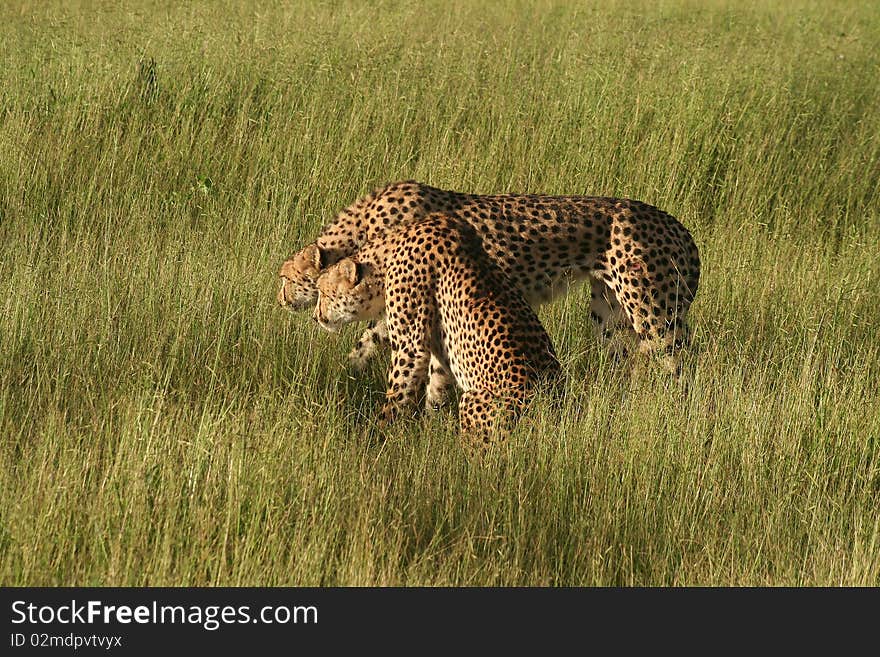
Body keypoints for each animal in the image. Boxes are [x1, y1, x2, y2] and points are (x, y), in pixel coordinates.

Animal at [278, 179, 704, 374]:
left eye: (286, 278)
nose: (281, 299)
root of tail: (676, 223)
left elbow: (370, 339)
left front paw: (345, 373)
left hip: (654, 313)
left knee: (679, 366)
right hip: (610, 314)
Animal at [316, 215, 560, 446]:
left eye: (322, 292)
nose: (315, 316)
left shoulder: (410, 347)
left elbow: (397, 393)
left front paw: (377, 434)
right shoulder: (440, 352)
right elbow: (437, 387)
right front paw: (431, 430)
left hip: (475, 401)